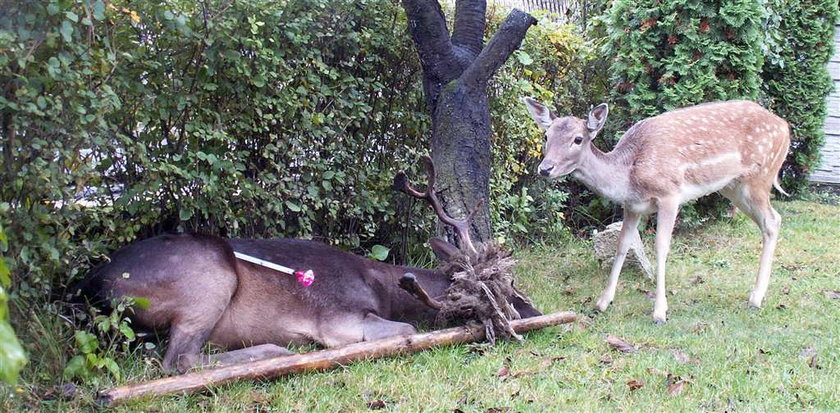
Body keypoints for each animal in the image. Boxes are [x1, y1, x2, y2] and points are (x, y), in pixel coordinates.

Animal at [79, 157, 540, 370]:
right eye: (505, 290)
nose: (533, 312)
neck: (385, 288)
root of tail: (92, 284)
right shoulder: (340, 316)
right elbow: (407, 329)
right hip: (208, 276)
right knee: (179, 359)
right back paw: (272, 350)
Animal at [520, 98, 792, 324]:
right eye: (546, 136)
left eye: (578, 139)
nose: (545, 168)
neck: (629, 177)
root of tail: (785, 127)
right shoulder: (631, 206)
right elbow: (622, 245)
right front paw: (602, 302)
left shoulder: (669, 194)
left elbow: (661, 247)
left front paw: (660, 312)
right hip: (733, 186)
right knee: (772, 220)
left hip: (760, 177)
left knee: (773, 220)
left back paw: (756, 298)